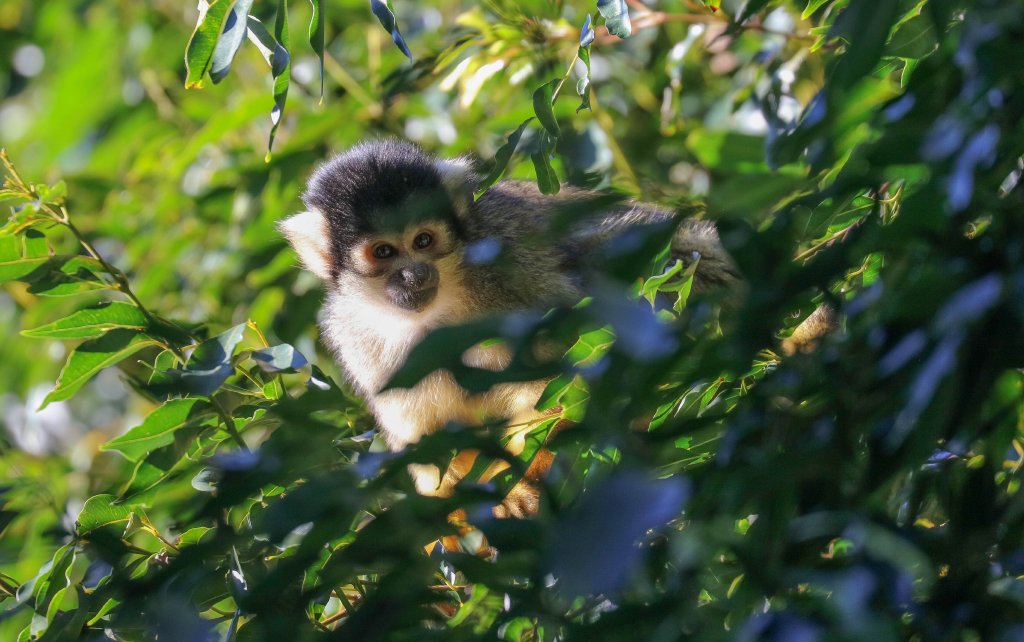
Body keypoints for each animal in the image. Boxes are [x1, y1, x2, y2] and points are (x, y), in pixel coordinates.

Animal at [279, 139, 819, 519]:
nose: (414, 275)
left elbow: (571, 371)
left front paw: (526, 484)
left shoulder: (509, 261)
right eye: (384, 252)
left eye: (424, 240)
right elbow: (427, 436)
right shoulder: (356, 338)